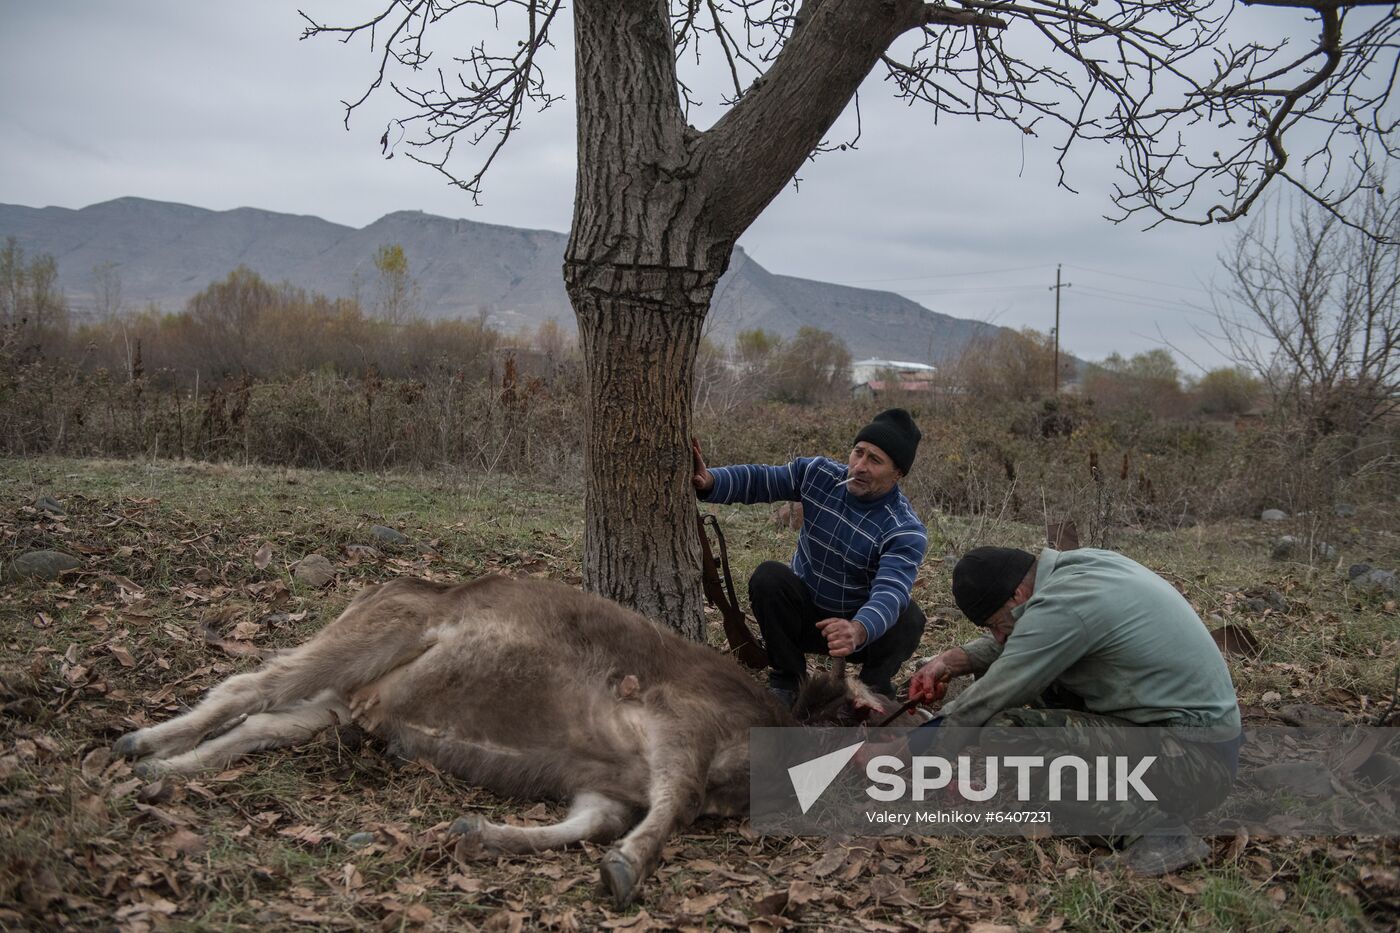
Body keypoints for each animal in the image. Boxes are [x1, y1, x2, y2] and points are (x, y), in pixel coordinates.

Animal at [112, 574, 896, 902]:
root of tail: (396, 584)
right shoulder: (680, 725)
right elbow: (672, 804)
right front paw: (627, 869)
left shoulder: (608, 786)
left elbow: (588, 824)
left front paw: (478, 833)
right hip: (373, 634)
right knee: (247, 686)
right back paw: (140, 746)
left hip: (338, 702)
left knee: (264, 720)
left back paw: (168, 771)